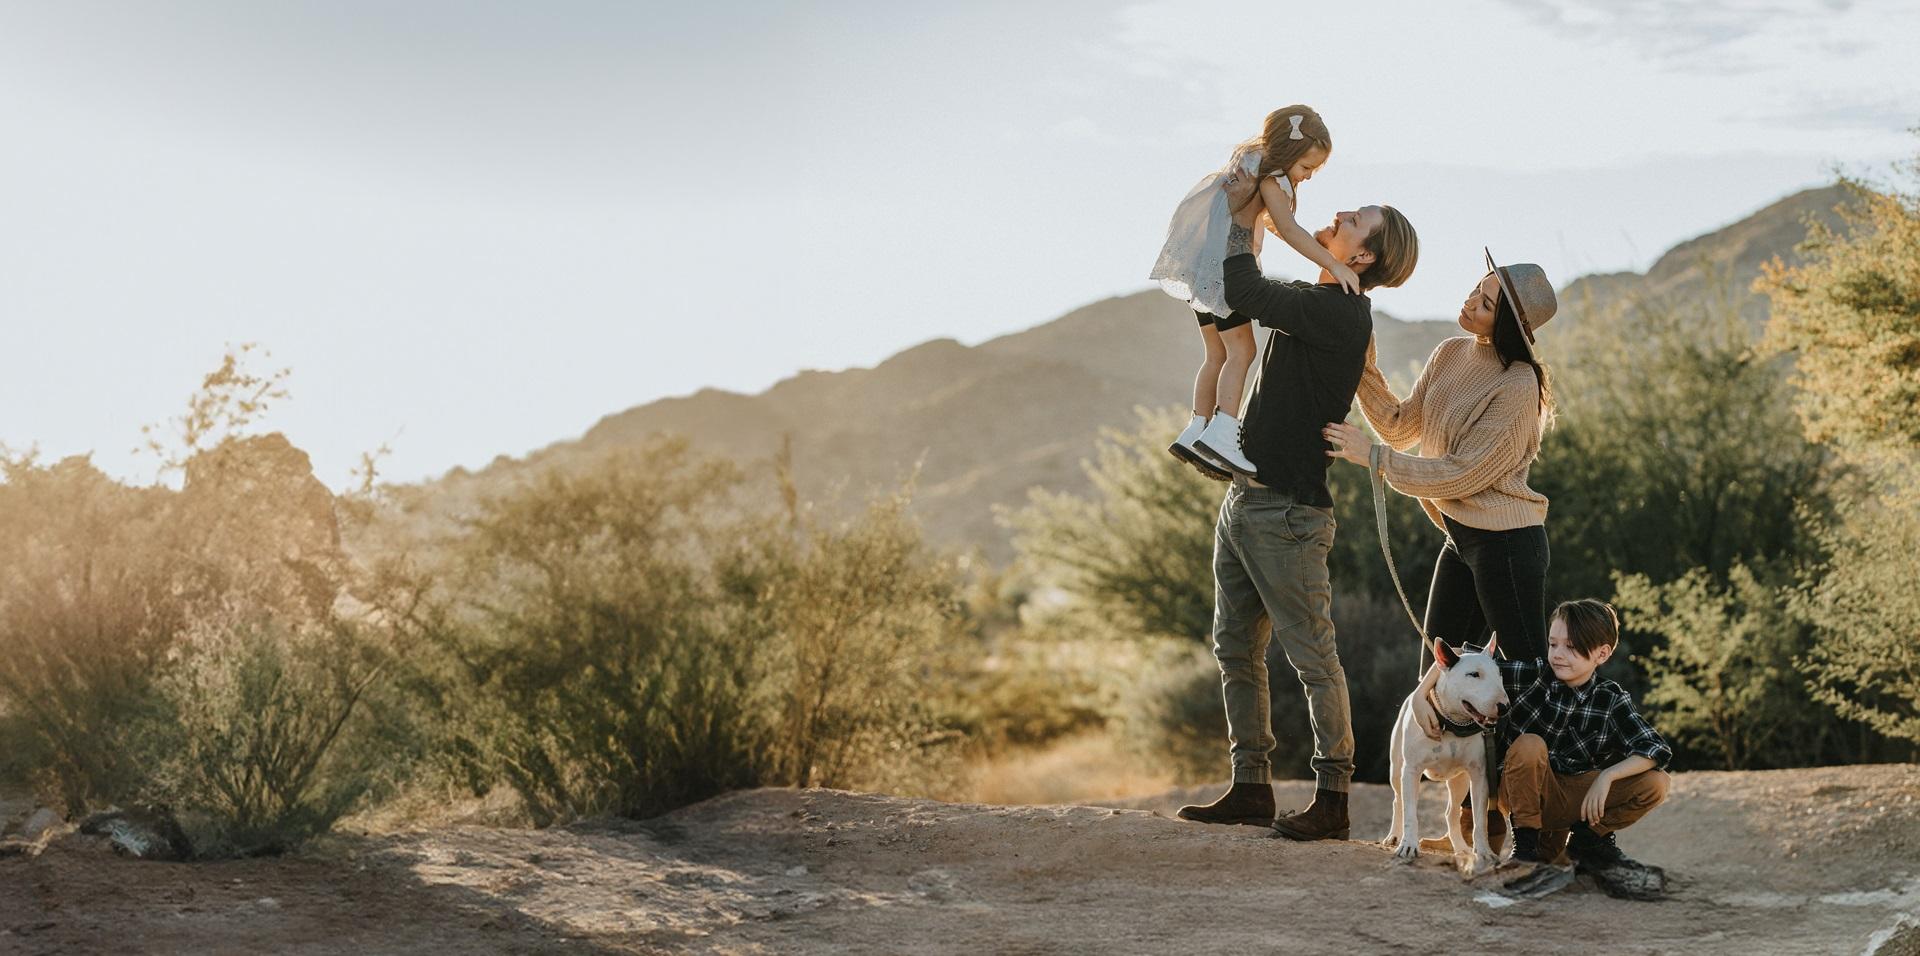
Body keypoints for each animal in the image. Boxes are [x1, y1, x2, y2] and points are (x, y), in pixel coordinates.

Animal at [1390, 637, 1505, 879]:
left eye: (1499, 673)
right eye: (1474, 674)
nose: (1504, 707)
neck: (1453, 724)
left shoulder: (1479, 775)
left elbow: (1480, 819)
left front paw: (1484, 852)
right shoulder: (1411, 770)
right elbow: (1410, 813)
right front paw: (1408, 846)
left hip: (1459, 781)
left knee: (1451, 813)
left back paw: (1460, 847)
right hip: (1396, 772)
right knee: (1398, 800)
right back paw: (1394, 836)